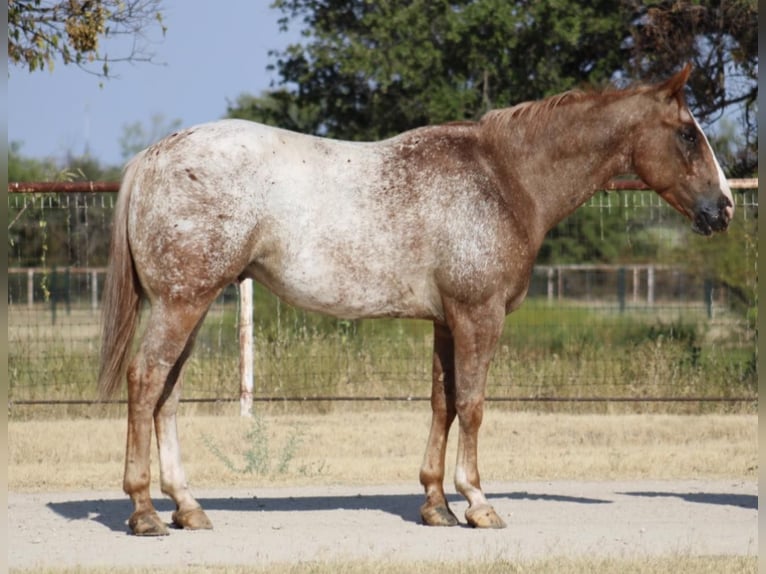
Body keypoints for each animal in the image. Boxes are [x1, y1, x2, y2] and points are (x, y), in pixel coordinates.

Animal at [99, 65, 736, 536]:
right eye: (688, 133)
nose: (724, 207)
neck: (504, 178)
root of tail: (154, 156)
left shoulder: (446, 321)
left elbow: (442, 403)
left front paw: (436, 504)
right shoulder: (478, 316)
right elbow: (473, 405)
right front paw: (477, 502)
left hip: (192, 304)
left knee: (167, 395)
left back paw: (187, 507)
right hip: (182, 303)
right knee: (146, 381)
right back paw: (145, 511)